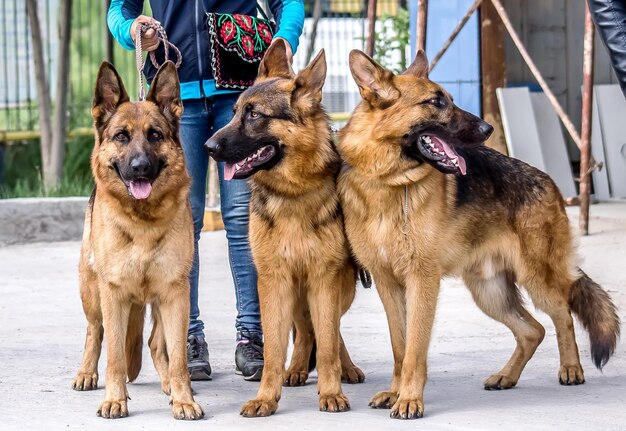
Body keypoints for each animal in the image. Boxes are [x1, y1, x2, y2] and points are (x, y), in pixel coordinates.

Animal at [71, 62, 202, 420]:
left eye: (155, 135)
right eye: (121, 136)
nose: (140, 168)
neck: (142, 221)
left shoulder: (175, 294)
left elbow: (179, 358)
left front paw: (184, 399)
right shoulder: (114, 294)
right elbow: (116, 356)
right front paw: (115, 400)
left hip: (161, 301)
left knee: (157, 344)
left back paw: (169, 385)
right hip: (92, 294)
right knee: (94, 331)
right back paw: (86, 373)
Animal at [206, 40, 360, 418]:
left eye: (254, 115)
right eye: (234, 111)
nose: (208, 147)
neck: (292, 194)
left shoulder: (325, 277)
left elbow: (329, 342)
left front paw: (330, 391)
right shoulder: (274, 282)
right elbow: (275, 349)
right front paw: (266, 397)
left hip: (342, 287)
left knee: (330, 330)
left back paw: (346, 369)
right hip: (294, 292)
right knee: (305, 329)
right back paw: (297, 369)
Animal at [334, 49, 616, 420]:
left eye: (449, 99)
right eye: (435, 102)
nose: (488, 128)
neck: (390, 182)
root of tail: (551, 182)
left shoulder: (422, 281)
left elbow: (414, 349)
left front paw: (409, 398)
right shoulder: (387, 284)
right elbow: (400, 346)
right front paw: (395, 392)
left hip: (537, 280)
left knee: (562, 315)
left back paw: (571, 368)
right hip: (489, 292)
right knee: (533, 330)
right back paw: (506, 376)